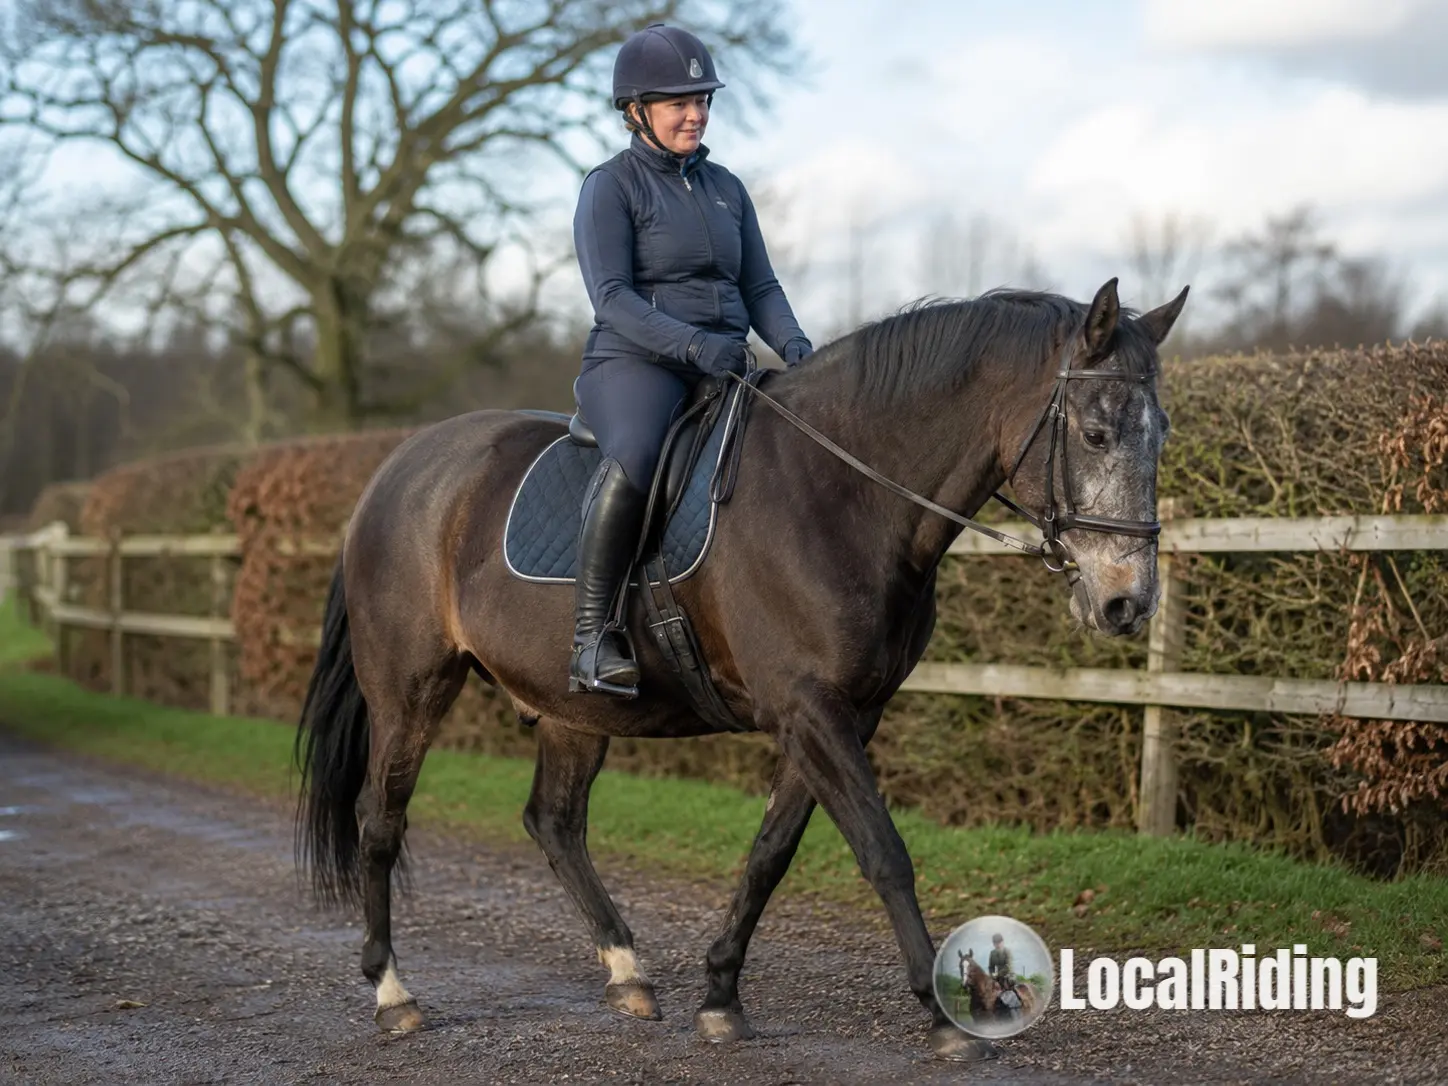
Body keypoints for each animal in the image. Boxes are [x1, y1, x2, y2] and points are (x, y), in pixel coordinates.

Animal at [293, 277, 1187, 1063]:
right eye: (1097, 434)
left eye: (1164, 434)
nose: (1127, 602)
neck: (840, 493)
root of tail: (396, 472)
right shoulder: (808, 709)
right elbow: (882, 850)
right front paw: (940, 1014)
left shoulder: (839, 713)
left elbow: (769, 854)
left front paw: (721, 996)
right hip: (410, 689)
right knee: (381, 820)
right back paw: (394, 993)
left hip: (574, 708)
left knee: (553, 822)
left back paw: (628, 974)